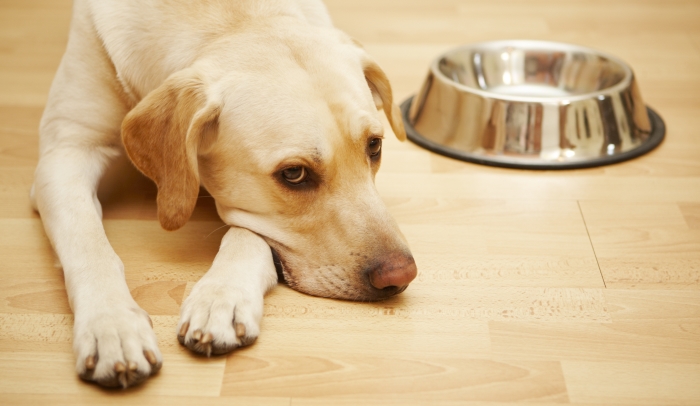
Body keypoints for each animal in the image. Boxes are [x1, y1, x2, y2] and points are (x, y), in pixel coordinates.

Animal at [31, 0, 416, 388]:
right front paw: (112, 325)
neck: (230, 18)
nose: (401, 275)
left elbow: (247, 235)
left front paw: (221, 299)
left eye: (374, 146)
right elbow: (89, 244)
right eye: (294, 174)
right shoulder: (65, 153)